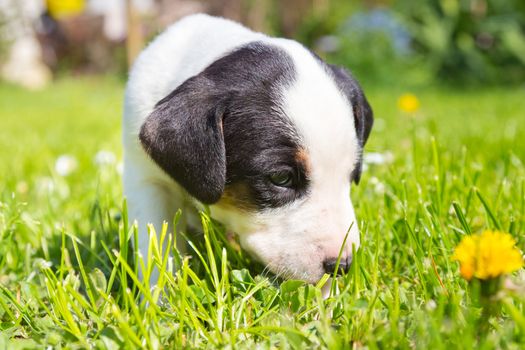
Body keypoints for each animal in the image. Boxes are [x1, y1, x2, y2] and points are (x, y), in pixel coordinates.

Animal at [122, 15, 372, 286]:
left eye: (351, 175)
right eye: (281, 177)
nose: (342, 266)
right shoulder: (148, 182)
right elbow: (156, 245)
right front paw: (160, 293)